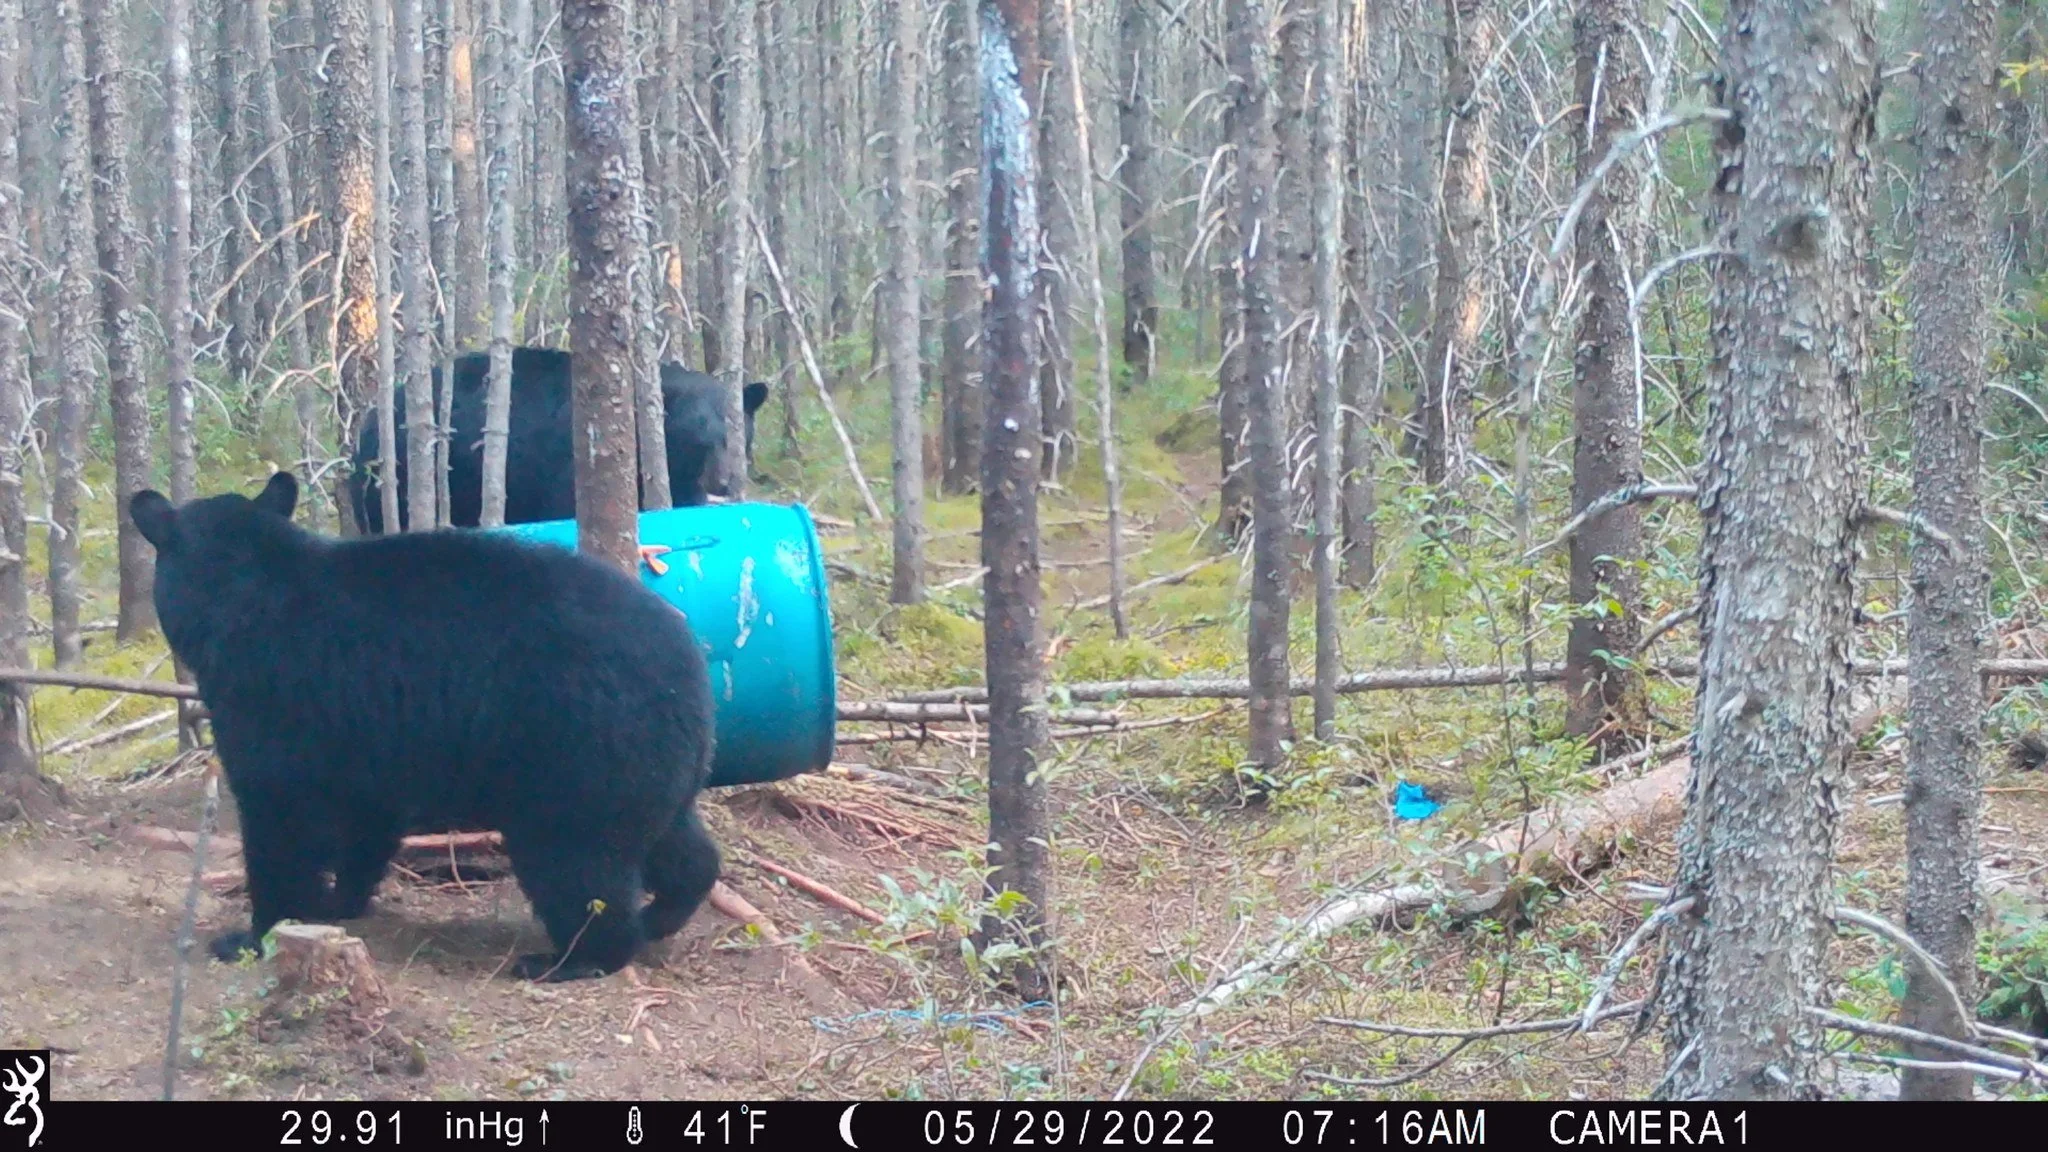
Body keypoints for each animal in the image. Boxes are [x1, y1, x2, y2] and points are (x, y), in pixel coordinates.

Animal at [131, 471, 721, 981]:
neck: (241, 593)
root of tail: (691, 664)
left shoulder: (274, 698)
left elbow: (281, 814)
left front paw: (255, 933)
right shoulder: (364, 737)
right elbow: (365, 818)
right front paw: (339, 900)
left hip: (579, 748)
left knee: (576, 861)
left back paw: (570, 958)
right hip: (648, 761)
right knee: (676, 843)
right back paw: (663, 913)